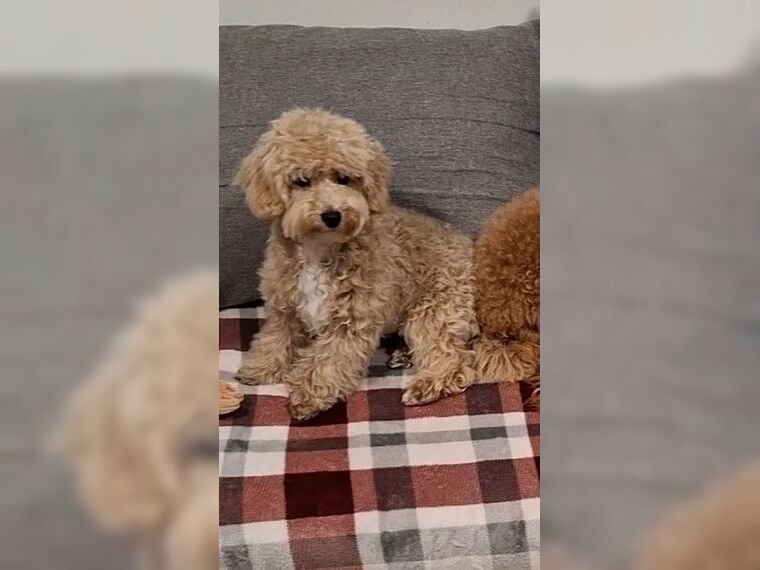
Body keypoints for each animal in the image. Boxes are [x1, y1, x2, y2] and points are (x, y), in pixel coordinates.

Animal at [234, 108, 478, 420]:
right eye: (301, 181)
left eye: (343, 178)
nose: (332, 215)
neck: (319, 249)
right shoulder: (284, 307)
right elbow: (275, 337)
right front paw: (262, 367)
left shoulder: (351, 320)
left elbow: (330, 359)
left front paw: (308, 395)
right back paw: (403, 355)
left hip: (434, 312)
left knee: (455, 358)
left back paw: (427, 385)